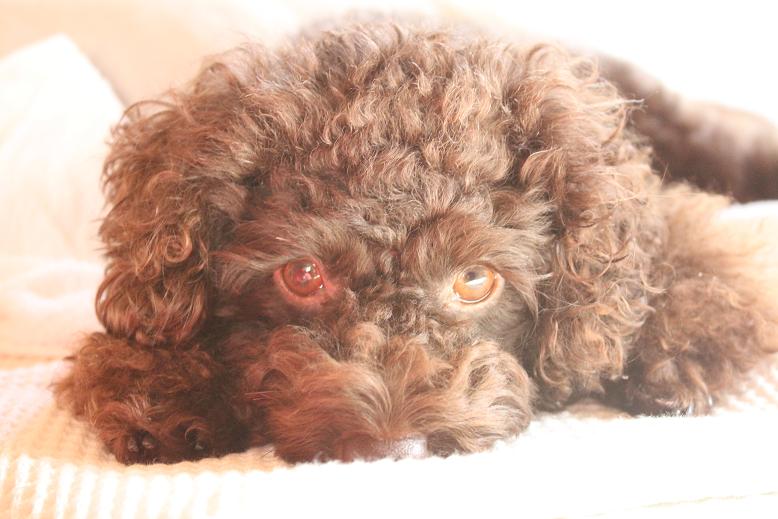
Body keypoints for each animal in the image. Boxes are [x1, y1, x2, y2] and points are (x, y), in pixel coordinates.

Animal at [56, 21, 778, 464]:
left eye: (475, 279)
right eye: (303, 275)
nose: (390, 451)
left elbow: (695, 273)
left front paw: (672, 361)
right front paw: (169, 390)